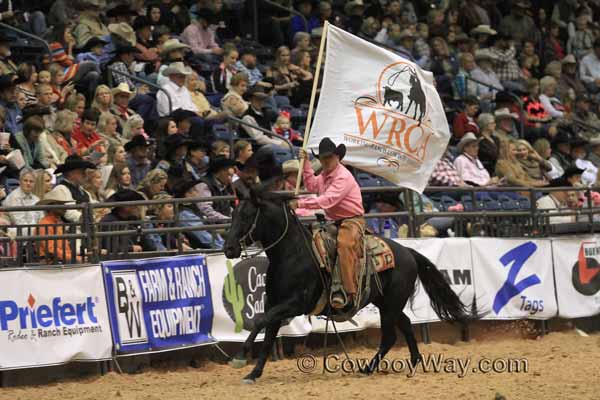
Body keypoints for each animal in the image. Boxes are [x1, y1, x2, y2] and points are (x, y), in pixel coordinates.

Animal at [223, 184, 472, 384]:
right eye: (232, 215)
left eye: (246, 216)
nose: (228, 248)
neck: (293, 254)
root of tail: (408, 251)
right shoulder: (274, 305)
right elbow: (267, 337)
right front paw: (253, 374)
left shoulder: (295, 304)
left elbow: (259, 322)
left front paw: (240, 357)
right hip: (386, 303)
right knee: (406, 324)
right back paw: (413, 361)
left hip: (391, 304)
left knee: (390, 336)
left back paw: (368, 369)